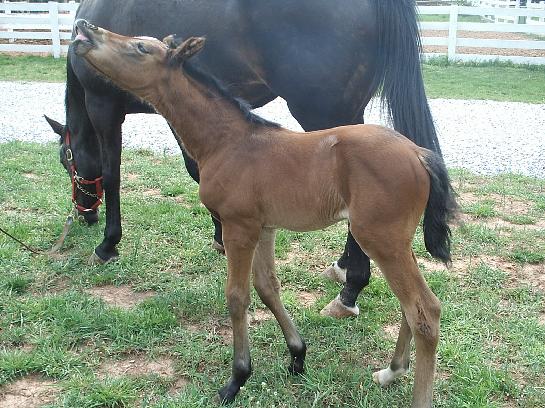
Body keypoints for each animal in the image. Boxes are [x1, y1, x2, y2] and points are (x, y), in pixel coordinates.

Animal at [72, 20, 454, 406]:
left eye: (140, 48)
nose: (84, 29)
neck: (227, 142)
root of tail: (418, 153)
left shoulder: (237, 227)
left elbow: (237, 296)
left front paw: (237, 378)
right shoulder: (264, 227)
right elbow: (268, 287)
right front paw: (297, 356)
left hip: (380, 239)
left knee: (425, 311)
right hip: (396, 242)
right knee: (410, 305)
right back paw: (391, 371)